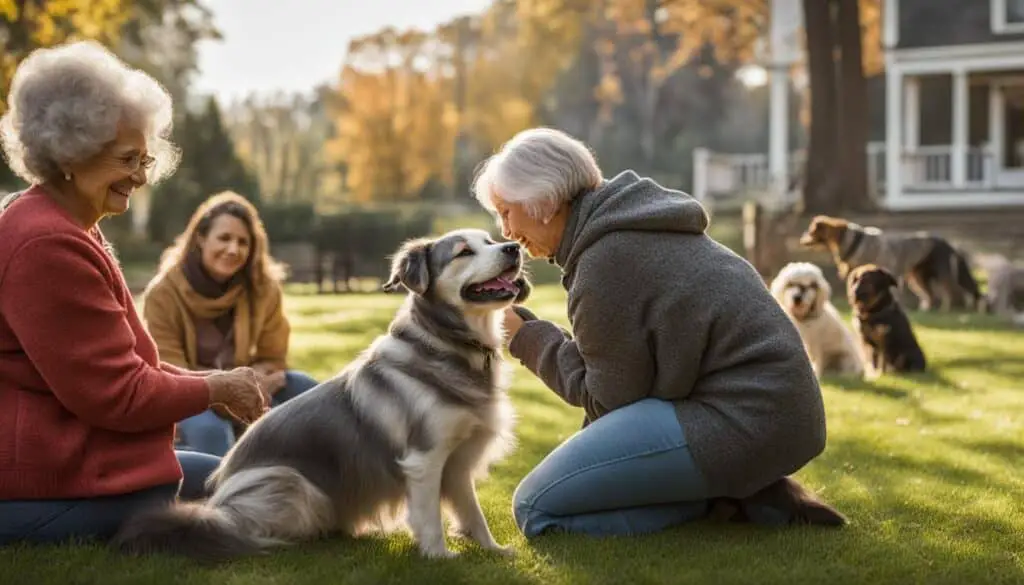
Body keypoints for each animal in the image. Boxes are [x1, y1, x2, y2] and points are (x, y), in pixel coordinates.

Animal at [112, 228, 532, 561]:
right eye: (463, 252)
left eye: (490, 241)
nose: (513, 247)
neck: (450, 346)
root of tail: (217, 504)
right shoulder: (424, 459)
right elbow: (429, 516)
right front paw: (439, 557)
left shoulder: (458, 462)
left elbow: (472, 511)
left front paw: (493, 550)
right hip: (292, 483)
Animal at [798, 215, 983, 313]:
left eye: (811, 231)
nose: (801, 239)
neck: (855, 242)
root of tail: (948, 244)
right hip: (917, 277)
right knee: (930, 295)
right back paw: (926, 311)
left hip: (941, 273)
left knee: (953, 291)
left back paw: (951, 310)